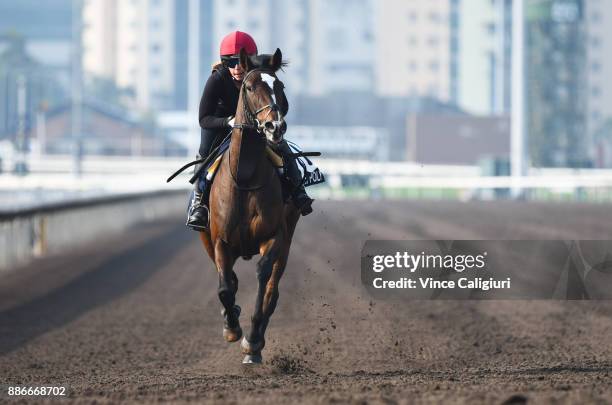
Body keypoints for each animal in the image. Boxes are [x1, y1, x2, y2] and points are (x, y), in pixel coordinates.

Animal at [197, 46, 300, 362]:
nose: (274, 127)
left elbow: (263, 279)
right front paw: (232, 327)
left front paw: (252, 340)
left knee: (272, 291)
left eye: (280, 87)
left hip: (289, 235)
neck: (244, 178)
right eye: (251, 87)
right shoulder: (219, 240)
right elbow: (224, 288)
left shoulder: (275, 236)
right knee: (229, 280)